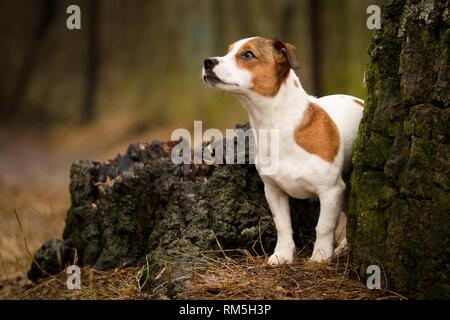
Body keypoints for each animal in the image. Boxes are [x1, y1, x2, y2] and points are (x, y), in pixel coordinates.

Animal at [202, 36, 364, 264]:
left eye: (248, 55)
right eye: (228, 51)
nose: (208, 62)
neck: (277, 125)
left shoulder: (331, 190)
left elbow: (323, 226)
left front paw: (321, 255)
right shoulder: (273, 191)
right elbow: (283, 225)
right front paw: (283, 254)